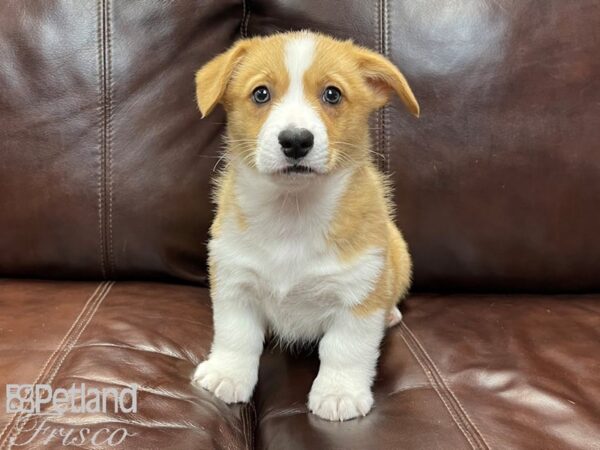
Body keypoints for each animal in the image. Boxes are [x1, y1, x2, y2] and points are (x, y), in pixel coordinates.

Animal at [192, 31, 418, 422]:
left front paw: (339, 393)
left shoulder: (358, 295)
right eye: (261, 93)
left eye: (332, 94)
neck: (292, 211)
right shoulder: (235, 282)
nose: (296, 140)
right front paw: (227, 375)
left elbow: (345, 349)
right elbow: (236, 336)